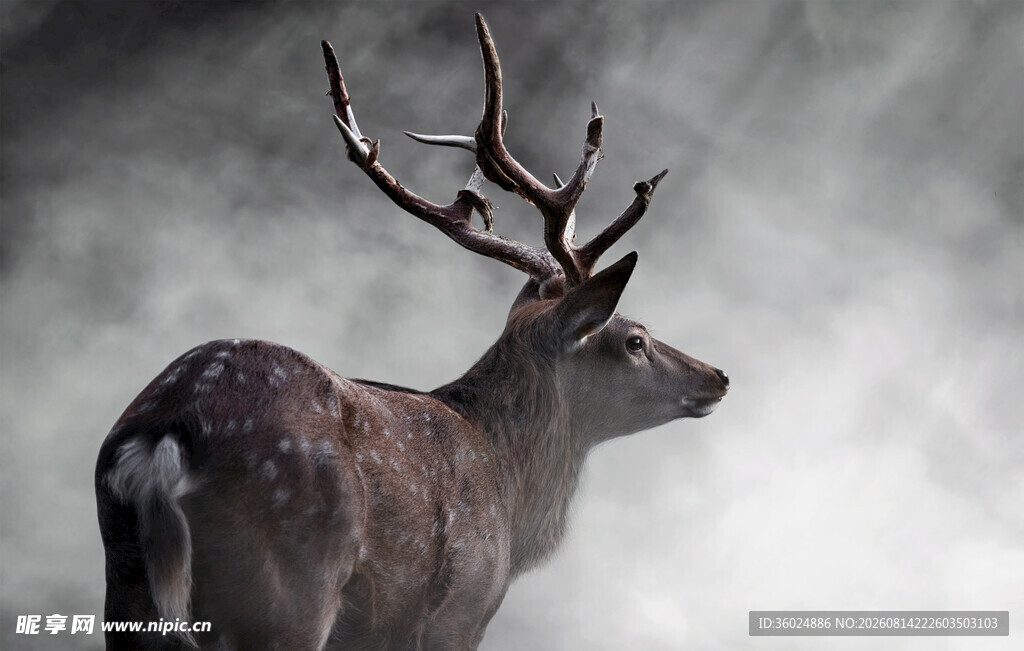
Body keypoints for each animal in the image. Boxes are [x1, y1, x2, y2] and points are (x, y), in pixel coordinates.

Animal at [95, 13, 729, 651]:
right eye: (635, 339)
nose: (718, 376)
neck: (510, 493)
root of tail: (168, 428)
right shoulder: (462, 607)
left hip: (128, 589)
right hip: (287, 581)